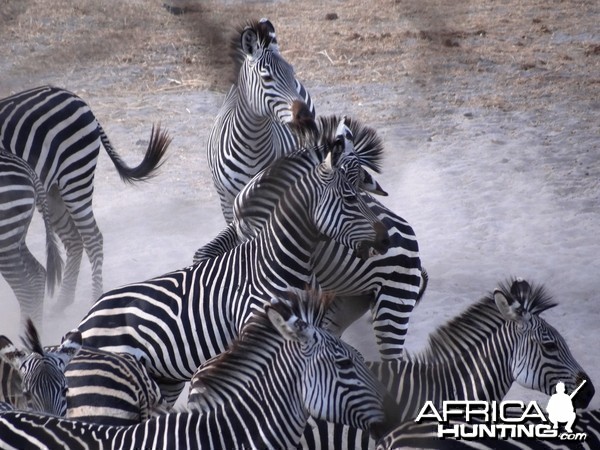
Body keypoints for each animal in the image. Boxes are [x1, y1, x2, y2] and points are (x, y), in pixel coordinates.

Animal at [0, 85, 171, 308]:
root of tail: (75, 98)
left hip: (76, 178)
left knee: (93, 239)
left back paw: (93, 299)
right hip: (52, 190)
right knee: (74, 240)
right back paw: (61, 305)